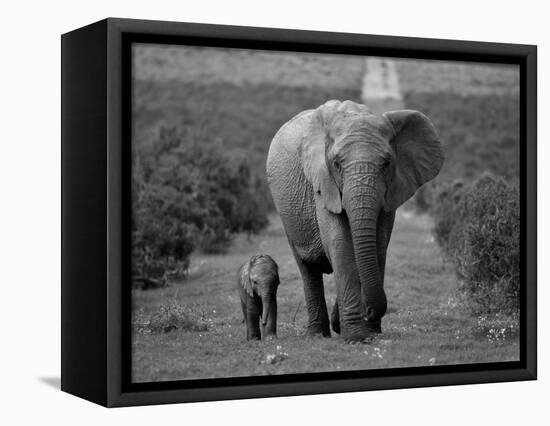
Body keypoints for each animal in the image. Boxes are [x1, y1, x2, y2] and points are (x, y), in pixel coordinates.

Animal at [268, 100, 444, 342]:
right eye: (336, 163)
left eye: (387, 163)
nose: (368, 311)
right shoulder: (323, 184)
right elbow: (341, 244)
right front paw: (355, 337)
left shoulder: (391, 191)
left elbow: (378, 244)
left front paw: (369, 331)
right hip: (287, 213)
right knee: (308, 268)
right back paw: (317, 334)